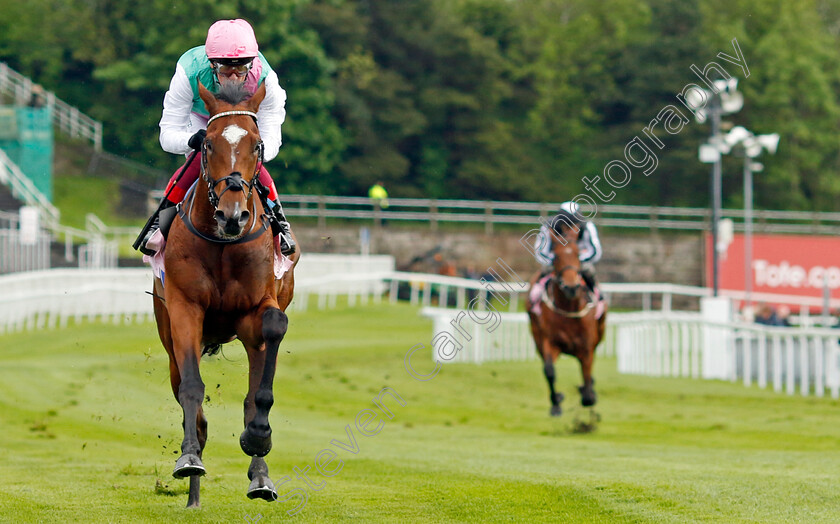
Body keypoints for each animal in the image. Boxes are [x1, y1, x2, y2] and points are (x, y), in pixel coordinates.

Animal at [149, 81, 300, 508]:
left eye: (258, 145)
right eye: (208, 144)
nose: (232, 216)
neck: (223, 242)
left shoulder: (255, 311)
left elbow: (273, 329)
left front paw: (258, 438)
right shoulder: (185, 308)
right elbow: (192, 388)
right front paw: (188, 460)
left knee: (251, 392)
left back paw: (260, 475)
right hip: (168, 335)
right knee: (188, 399)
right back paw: (193, 489)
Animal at [524, 224, 604, 418]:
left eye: (577, 253)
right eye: (556, 255)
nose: (571, 287)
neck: (569, 307)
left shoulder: (586, 346)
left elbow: (587, 379)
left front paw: (589, 393)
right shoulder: (549, 341)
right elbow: (549, 371)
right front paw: (556, 402)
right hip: (536, 335)